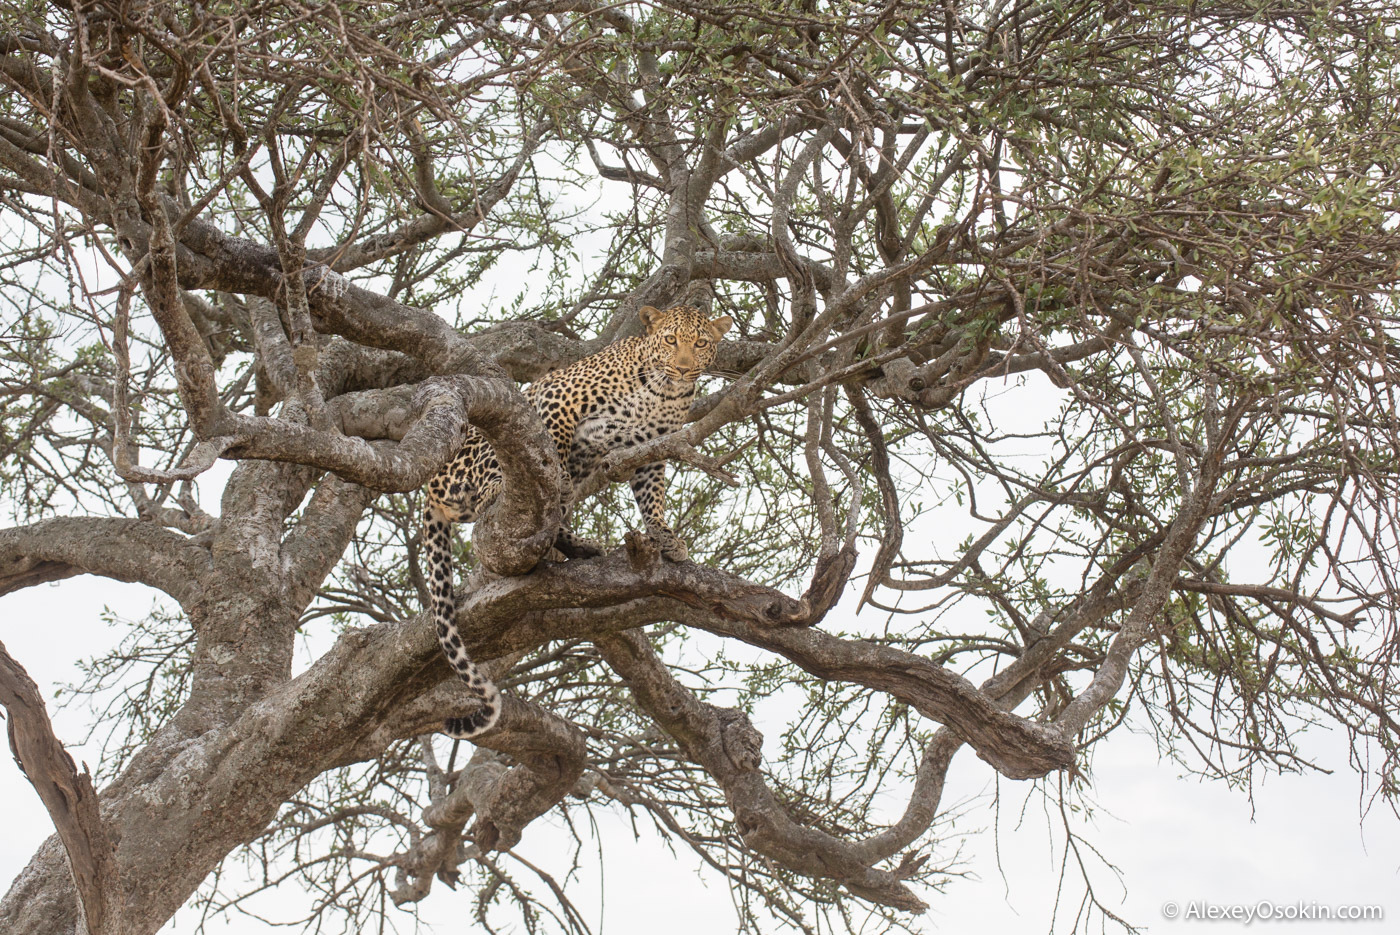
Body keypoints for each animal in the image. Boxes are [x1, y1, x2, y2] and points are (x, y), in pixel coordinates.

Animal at [422, 303, 733, 739]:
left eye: (701, 343)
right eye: (671, 340)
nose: (684, 368)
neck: (664, 393)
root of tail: (430, 487)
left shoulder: (652, 450)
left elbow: (652, 497)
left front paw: (665, 536)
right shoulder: (557, 397)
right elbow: (554, 444)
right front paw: (562, 480)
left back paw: (575, 547)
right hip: (482, 446)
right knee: (495, 486)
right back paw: (511, 495)